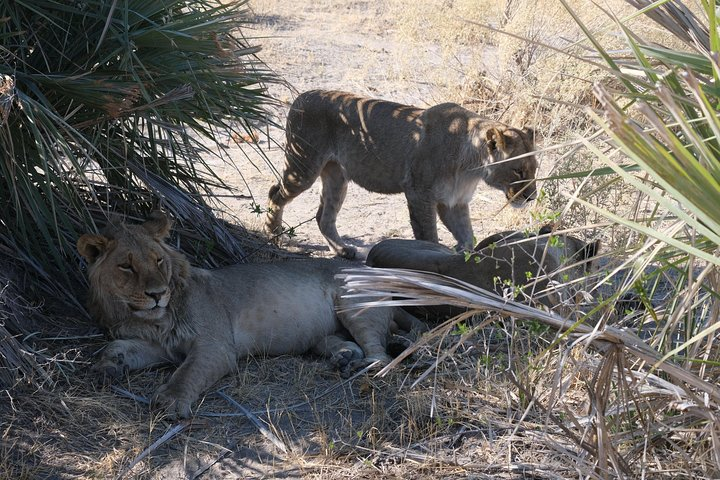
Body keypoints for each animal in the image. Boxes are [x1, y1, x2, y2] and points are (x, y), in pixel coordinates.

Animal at [78, 212, 422, 418]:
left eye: (158, 260)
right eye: (126, 266)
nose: (157, 294)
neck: (147, 318)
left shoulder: (216, 347)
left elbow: (186, 373)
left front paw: (171, 402)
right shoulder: (159, 347)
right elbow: (116, 346)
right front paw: (107, 367)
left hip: (354, 303)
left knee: (379, 353)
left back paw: (363, 367)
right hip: (326, 331)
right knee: (346, 342)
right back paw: (343, 358)